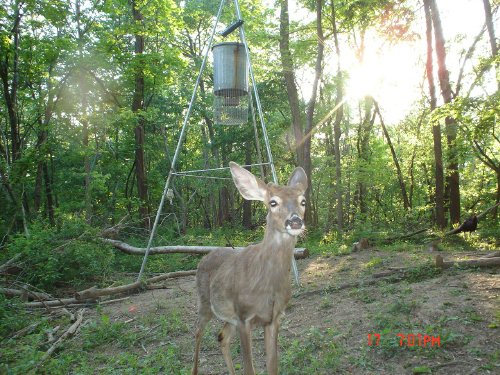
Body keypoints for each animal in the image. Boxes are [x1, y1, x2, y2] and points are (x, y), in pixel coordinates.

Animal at [192, 163, 306, 375]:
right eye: (272, 202)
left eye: (303, 201)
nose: (295, 221)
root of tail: (205, 257)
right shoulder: (244, 318)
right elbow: (249, 368)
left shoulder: (274, 318)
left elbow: (272, 367)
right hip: (205, 303)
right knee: (197, 332)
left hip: (229, 317)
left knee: (221, 336)